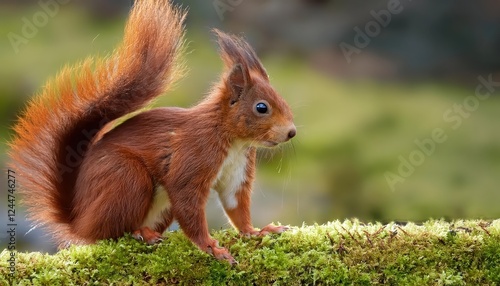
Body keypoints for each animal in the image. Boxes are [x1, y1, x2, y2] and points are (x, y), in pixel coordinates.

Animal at [7, 0, 294, 264]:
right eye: (261, 107)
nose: (291, 132)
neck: (232, 139)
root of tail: (78, 220)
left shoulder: (238, 169)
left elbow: (236, 204)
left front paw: (257, 231)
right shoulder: (195, 154)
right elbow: (187, 200)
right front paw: (211, 247)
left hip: (158, 205)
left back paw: (147, 232)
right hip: (126, 177)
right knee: (108, 233)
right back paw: (139, 234)